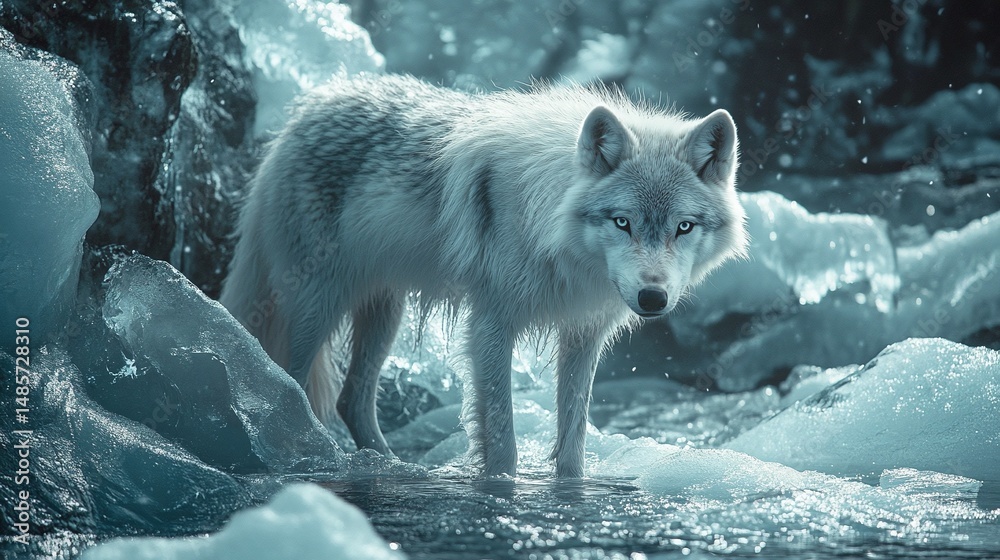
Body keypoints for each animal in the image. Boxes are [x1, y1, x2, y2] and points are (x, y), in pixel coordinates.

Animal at [220, 74, 748, 477]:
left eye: (683, 227)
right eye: (623, 222)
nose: (653, 297)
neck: (551, 229)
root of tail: (309, 107)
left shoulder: (582, 334)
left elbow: (573, 439)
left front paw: (571, 490)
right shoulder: (491, 325)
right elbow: (501, 435)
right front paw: (500, 488)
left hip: (384, 311)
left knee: (351, 400)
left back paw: (394, 468)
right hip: (320, 306)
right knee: (291, 384)